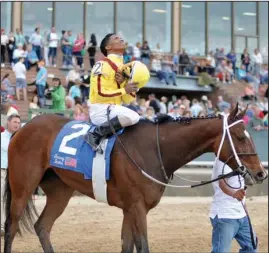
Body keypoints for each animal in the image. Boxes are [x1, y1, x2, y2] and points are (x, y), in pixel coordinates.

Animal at [3, 104, 266, 252]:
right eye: (240, 137)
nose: (260, 173)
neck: (154, 148)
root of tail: (23, 126)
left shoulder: (130, 209)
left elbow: (127, 246)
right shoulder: (137, 207)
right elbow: (143, 246)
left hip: (60, 190)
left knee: (42, 226)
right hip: (23, 187)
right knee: (11, 227)